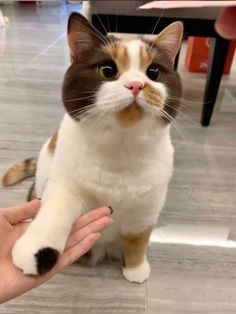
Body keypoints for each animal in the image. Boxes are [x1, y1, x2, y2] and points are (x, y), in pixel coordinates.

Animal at [2, 12, 183, 284]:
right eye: (108, 70)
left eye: (153, 72)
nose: (136, 85)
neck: (120, 144)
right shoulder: (66, 186)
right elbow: (55, 212)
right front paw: (36, 251)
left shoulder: (146, 207)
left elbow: (138, 239)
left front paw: (135, 268)